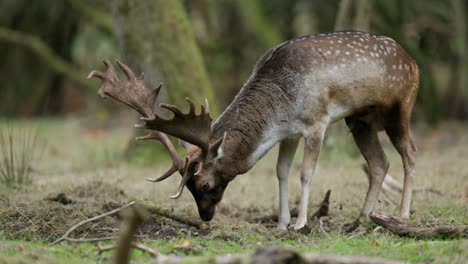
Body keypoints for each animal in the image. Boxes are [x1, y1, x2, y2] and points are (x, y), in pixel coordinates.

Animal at [88, 31, 420, 231]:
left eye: (205, 185)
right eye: (190, 188)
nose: (205, 217)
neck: (283, 105)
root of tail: (413, 61)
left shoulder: (317, 121)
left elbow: (306, 173)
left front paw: (300, 224)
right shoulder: (289, 133)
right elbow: (281, 172)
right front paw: (282, 223)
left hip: (400, 107)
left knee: (410, 155)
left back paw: (403, 214)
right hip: (360, 120)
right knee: (379, 163)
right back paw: (362, 219)